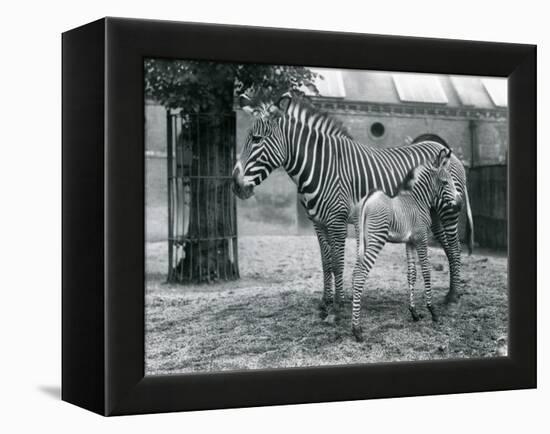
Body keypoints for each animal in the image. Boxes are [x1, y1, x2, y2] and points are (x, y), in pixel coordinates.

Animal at [354, 149, 462, 342]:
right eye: (444, 182)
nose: (460, 205)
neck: (418, 200)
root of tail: (368, 198)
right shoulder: (421, 238)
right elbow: (426, 271)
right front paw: (432, 311)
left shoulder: (410, 242)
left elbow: (412, 274)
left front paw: (414, 312)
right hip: (376, 239)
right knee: (360, 275)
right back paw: (356, 329)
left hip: (361, 240)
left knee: (354, 273)